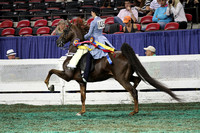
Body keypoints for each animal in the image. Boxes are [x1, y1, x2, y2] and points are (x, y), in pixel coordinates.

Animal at [44, 19, 180, 115]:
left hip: (121, 78)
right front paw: (82, 112)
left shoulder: (67, 76)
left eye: (65, 31)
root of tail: (124, 55)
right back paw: (132, 102)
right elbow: (83, 97)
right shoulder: (82, 82)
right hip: (125, 76)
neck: (74, 52)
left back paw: (134, 111)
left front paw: (50, 86)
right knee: (136, 81)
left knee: (133, 90)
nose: (58, 42)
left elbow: (51, 71)